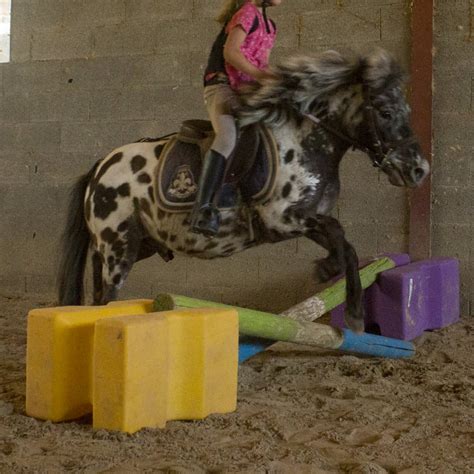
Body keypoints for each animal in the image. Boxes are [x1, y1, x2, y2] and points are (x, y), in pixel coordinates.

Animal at [58, 50, 430, 334]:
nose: (419, 170)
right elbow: (340, 235)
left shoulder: (308, 219)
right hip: (119, 247)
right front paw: (333, 284)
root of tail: (100, 167)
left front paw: (345, 300)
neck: (306, 142)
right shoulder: (283, 219)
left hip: (136, 245)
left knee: (98, 296)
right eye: (385, 112)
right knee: (108, 297)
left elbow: (347, 248)